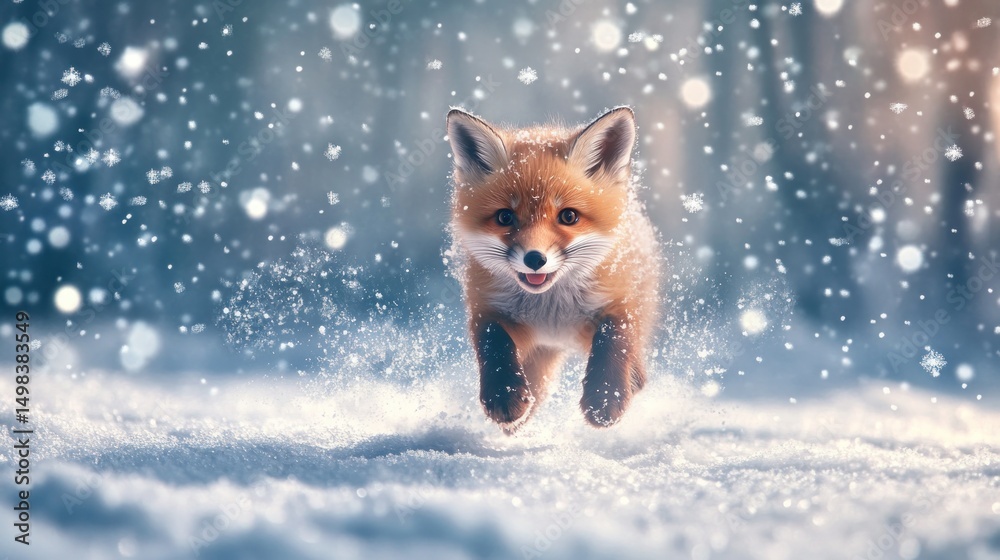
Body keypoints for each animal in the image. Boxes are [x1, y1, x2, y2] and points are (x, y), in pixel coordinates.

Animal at [446, 106, 661, 434]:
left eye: (568, 216)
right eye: (505, 217)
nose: (535, 259)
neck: (551, 310)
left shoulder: (617, 301)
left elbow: (613, 339)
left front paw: (604, 399)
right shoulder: (488, 307)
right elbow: (493, 343)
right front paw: (504, 396)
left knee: (634, 360)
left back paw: (632, 380)